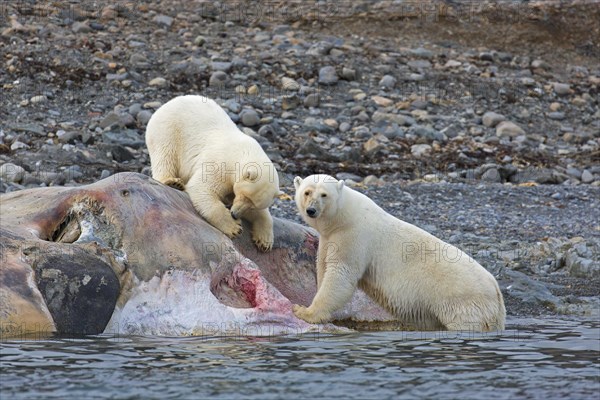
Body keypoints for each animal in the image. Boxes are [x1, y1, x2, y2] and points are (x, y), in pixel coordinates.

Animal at [148, 94, 284, 250]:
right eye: (244, 196)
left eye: (253, 204)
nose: (235, 214)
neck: (241, 152)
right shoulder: (219, 164)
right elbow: (202, 188)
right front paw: (234, 227)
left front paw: (264, 240)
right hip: (168, 130)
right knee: (165, 155)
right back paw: (172, 182)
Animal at [290, 175, 506, 332]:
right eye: (307, 192)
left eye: (324, 195)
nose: (311, 210)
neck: (344, 216)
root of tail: (496, 291)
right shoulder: (329, 238)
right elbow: (323, 268)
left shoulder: (354, 237)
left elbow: (340, 275)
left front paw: (304, 311)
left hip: (462, 303)